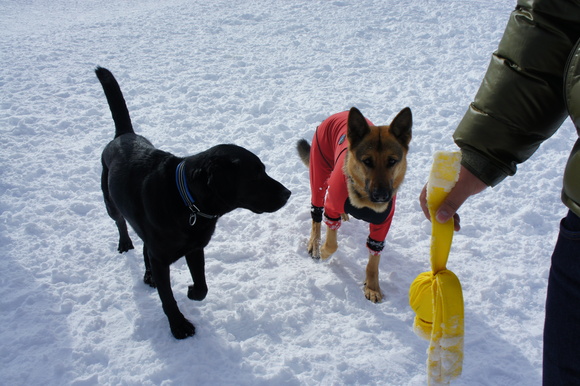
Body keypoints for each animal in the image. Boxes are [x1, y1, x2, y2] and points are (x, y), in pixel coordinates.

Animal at [98, 68, 294, 340]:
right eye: (255, 174)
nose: (288, 193)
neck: (187, 202)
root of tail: (123, 135)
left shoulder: (195, 247)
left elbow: (202, 286)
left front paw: (192, 291)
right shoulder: (162, 259)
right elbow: (167, 297)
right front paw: (178, 326)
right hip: (110, 201)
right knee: (120, 223)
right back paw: (125, 243)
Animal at [296, 107, 410, 304]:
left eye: (392, 161)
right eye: (367, 161)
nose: (381, 196)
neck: (365, 199)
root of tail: (339, 113)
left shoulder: (381, 226)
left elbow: (373, 261)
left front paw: (372, 287)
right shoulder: (332, 207)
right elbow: (332, 243)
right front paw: (324, 252)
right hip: (318, 174)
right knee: (316, 215)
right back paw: (315, 244)